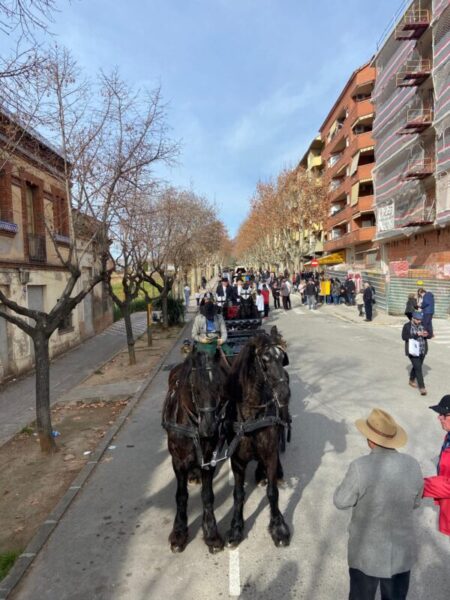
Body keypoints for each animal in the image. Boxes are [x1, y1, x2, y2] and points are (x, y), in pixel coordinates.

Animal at [162, 346, 229, 552]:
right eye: (195, 389)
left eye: (219, 386)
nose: (209, 428)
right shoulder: (178, 461)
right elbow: (181, 496)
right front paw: (179, 533)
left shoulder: (209, 459)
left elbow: (208, 495)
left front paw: (211, 533)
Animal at [225, 328, 292, 548]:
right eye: (264, 359)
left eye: (281, 358)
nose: (284, 394)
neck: (252, 417)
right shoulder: (236, 460)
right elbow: (238, 494)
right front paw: (236, 527)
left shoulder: (270, 453)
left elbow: (272, 492)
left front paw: (278, 527)